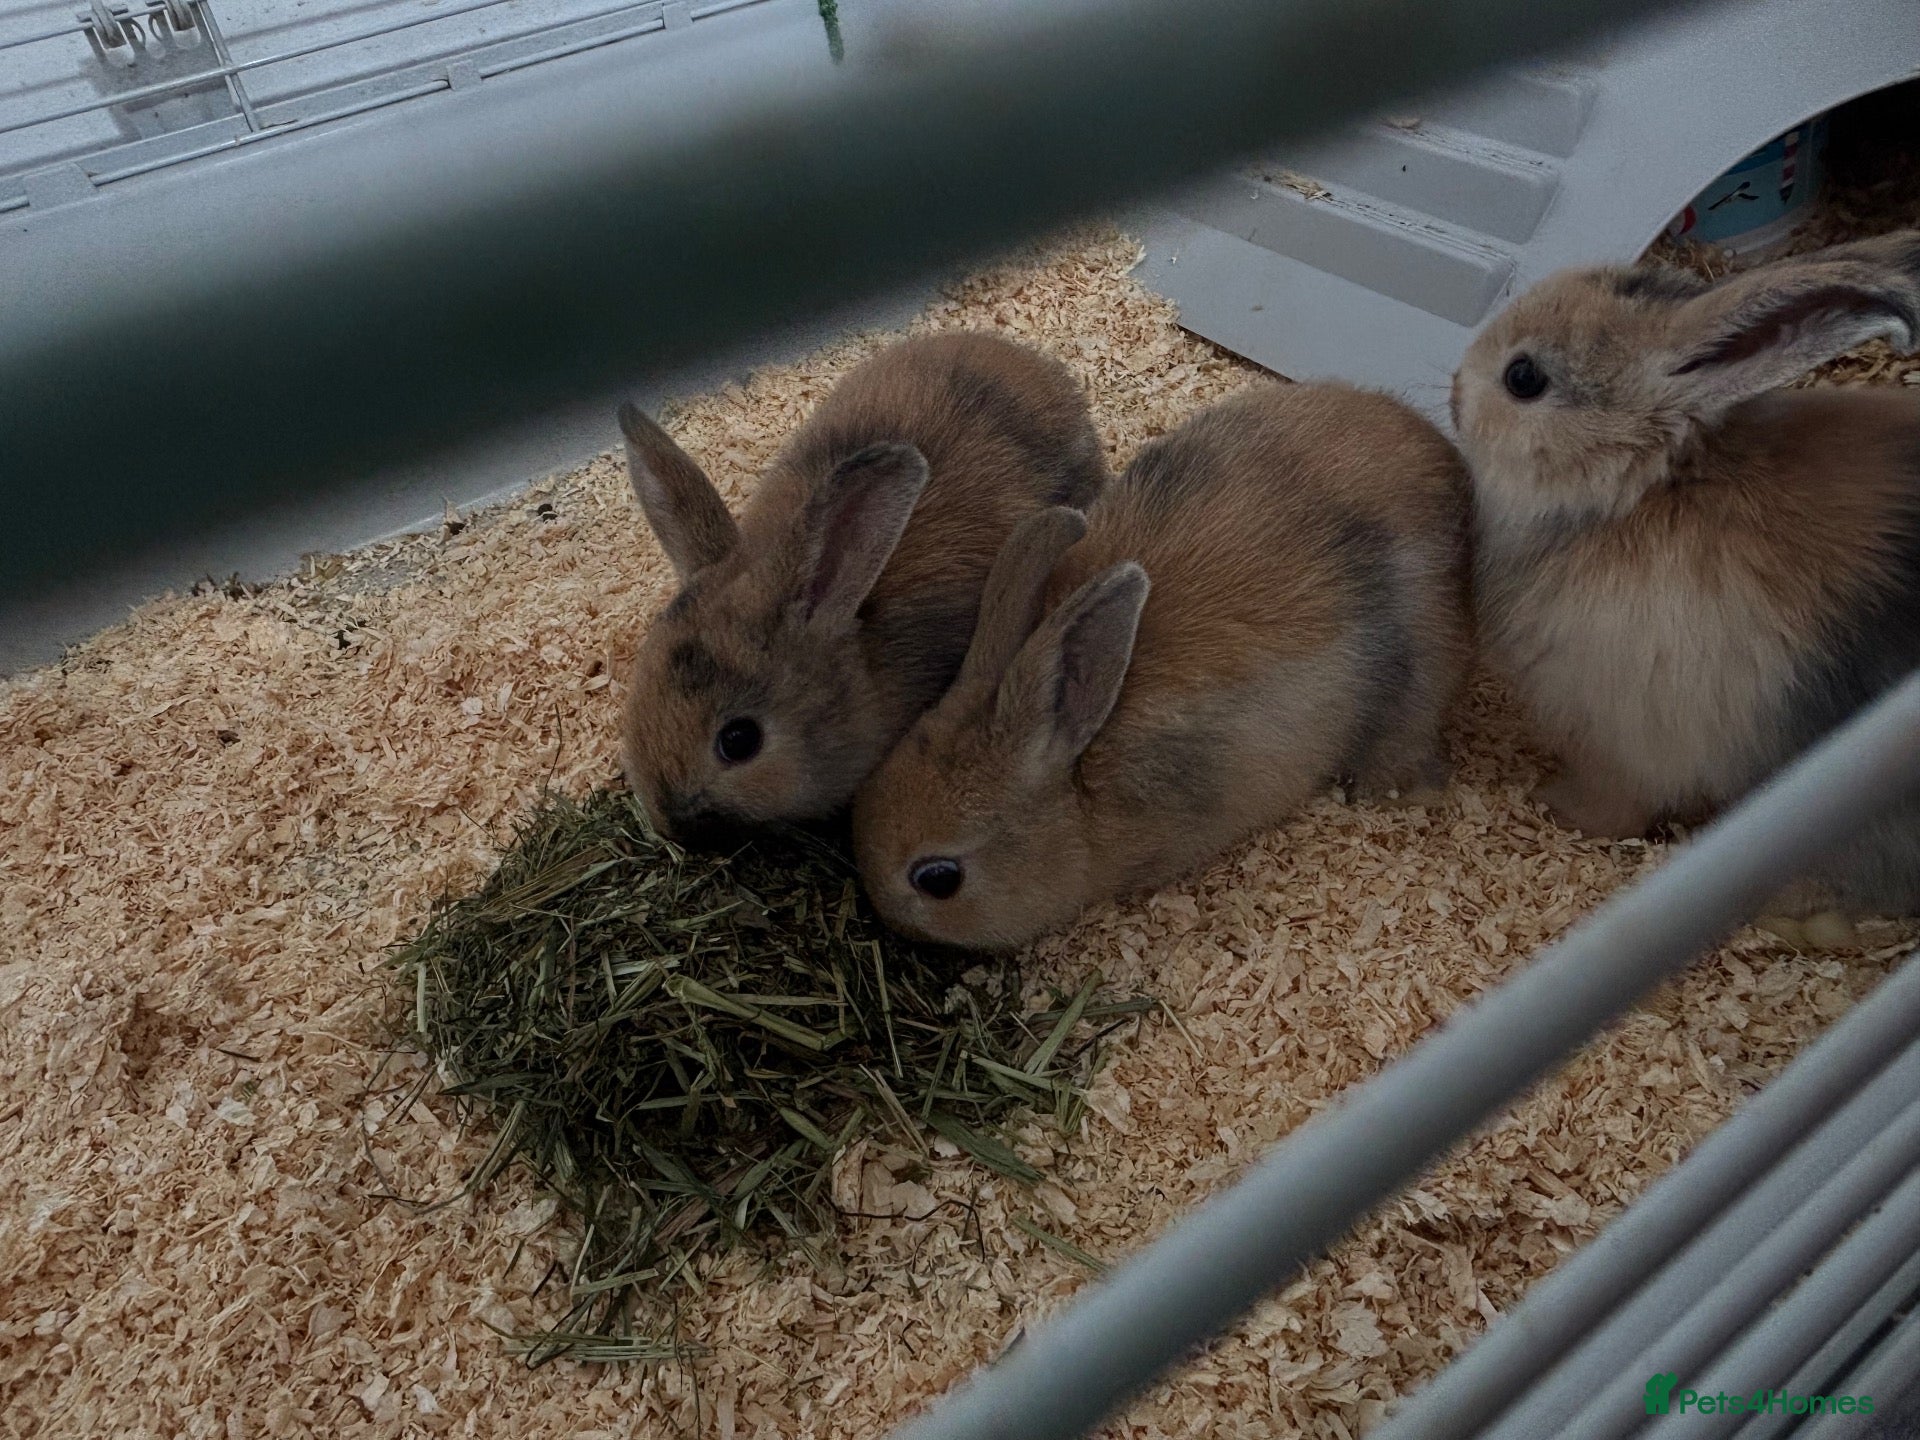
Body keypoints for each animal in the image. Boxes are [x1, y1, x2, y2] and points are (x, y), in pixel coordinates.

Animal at [1450, 229, 1920, 938]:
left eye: (1523, 378)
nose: (1453, 390)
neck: (1642, 493)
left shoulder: (1621, 742)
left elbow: (1613, 804)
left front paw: (1553, 804)